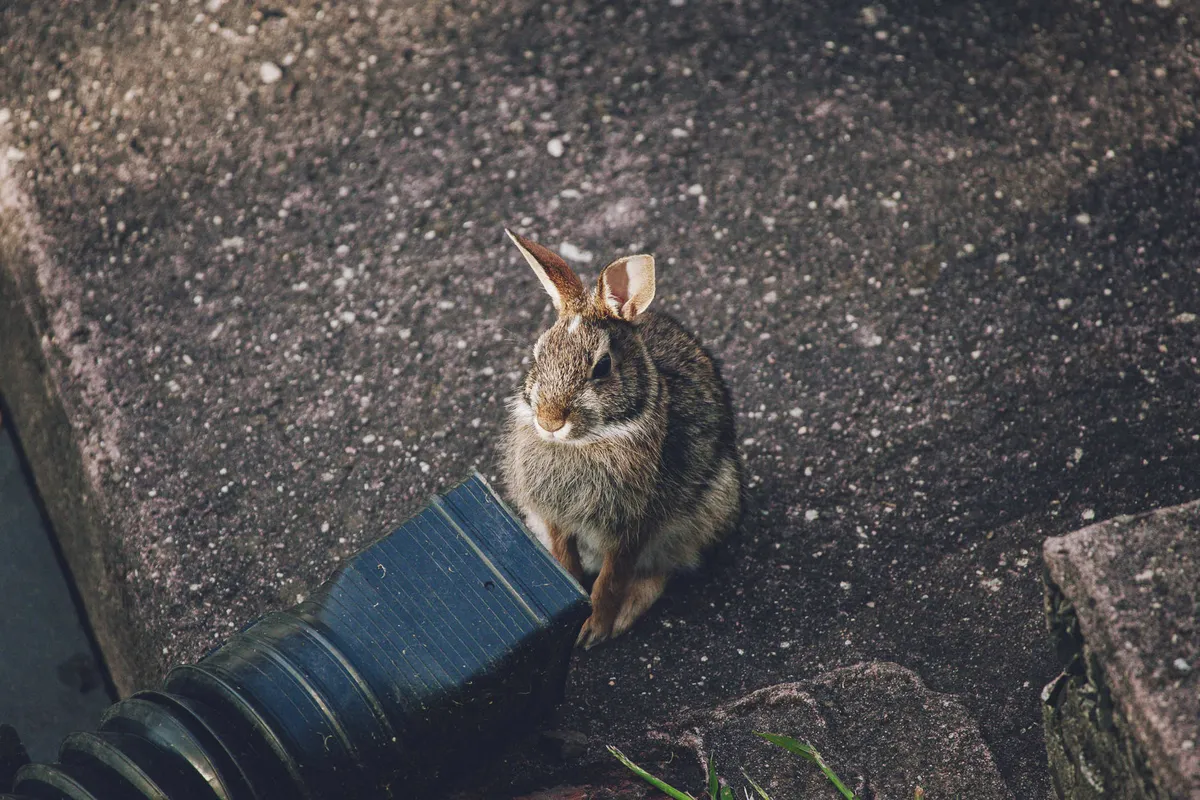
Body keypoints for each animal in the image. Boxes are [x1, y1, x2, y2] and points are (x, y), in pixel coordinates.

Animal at [500, 229, 743, 648]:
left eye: (602, 367)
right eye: (536, 356)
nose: (549, 421)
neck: (586, 441)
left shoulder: (632, 527)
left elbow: (612, 580)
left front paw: (593, 629)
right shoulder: (554, 517)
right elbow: (565, 561)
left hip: (701, 515)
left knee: (662, 571)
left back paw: (625, 615)